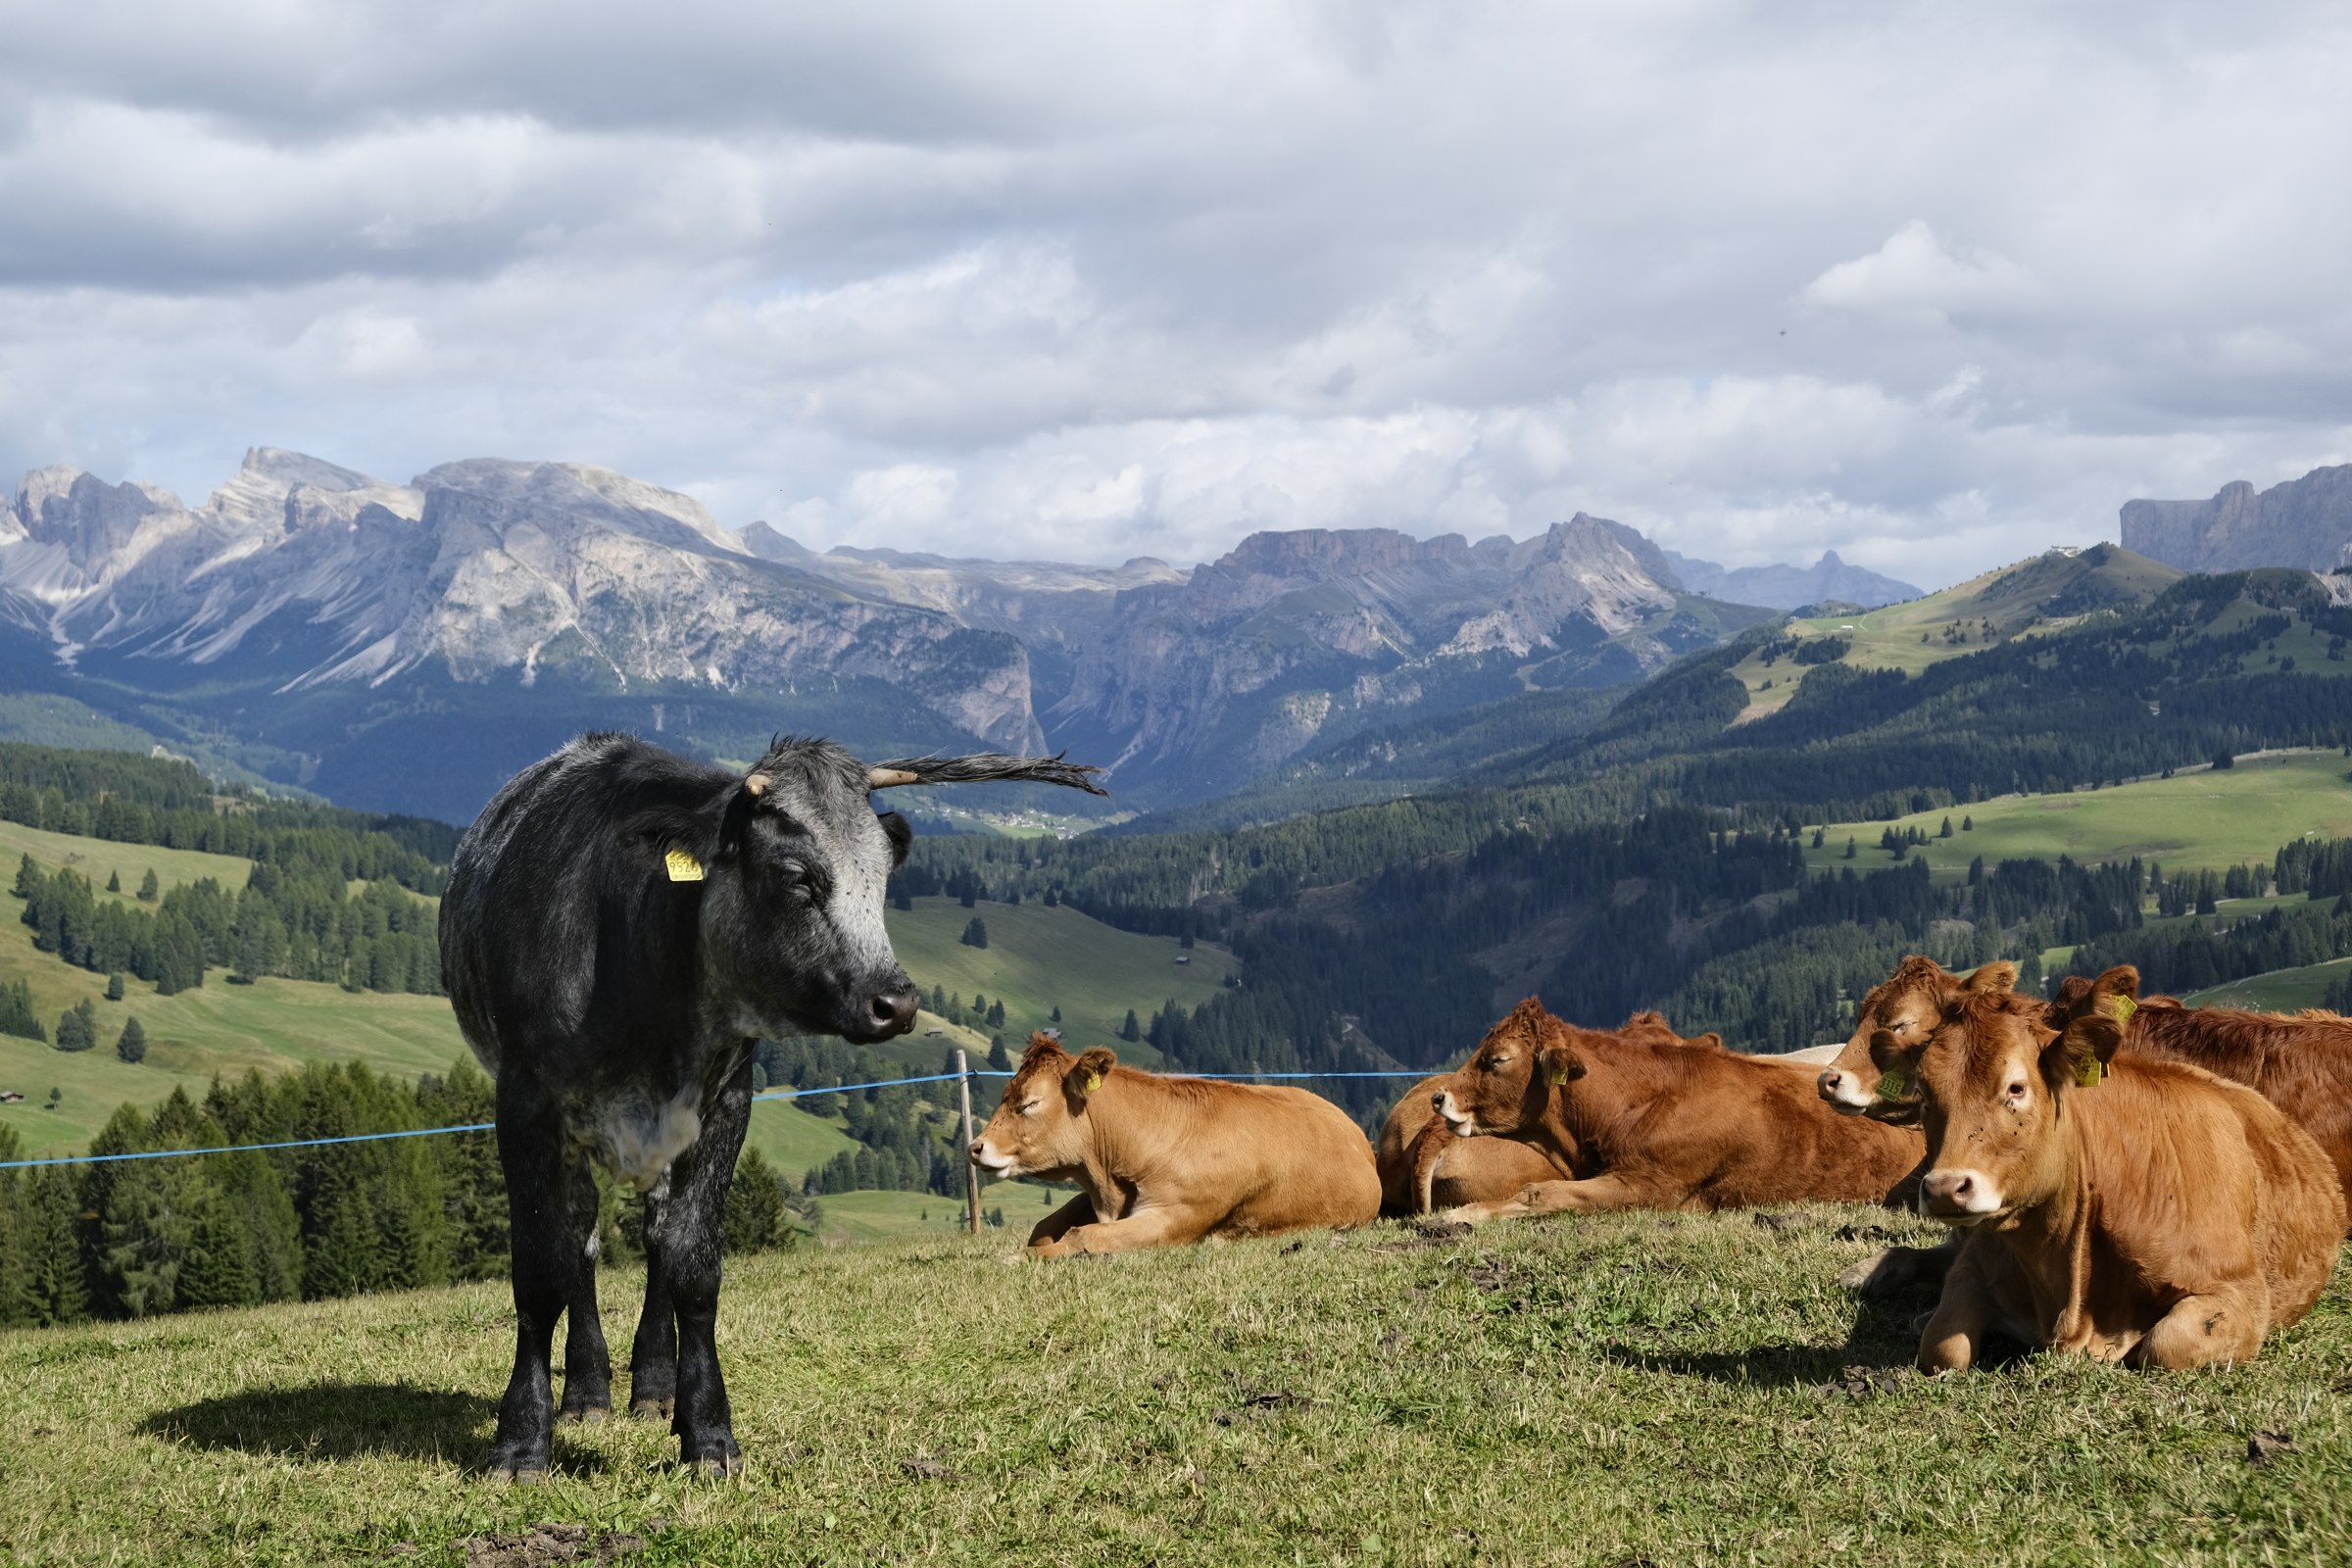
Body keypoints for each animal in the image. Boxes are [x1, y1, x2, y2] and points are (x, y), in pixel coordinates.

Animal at [440, 732, 1105, 1478]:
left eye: (884, 873)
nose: (896, 1002)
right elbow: (541, 1266)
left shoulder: (725, 1101)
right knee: (581, 1236)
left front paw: (707, 1431)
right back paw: (585, 1392)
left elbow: (692, 1262)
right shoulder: (526, 1105)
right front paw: (522, 1439)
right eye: (796, 876)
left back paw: (653, 1387)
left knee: (655, 1235)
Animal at [968, 1036, 1382, 1254]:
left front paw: (1020, 1258)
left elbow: (1083, 1235)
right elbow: (1044, 1225)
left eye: (1030, 1103)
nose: (976, 1147)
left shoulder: (1173, 1217)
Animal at [1880, 979, 2343, 1371]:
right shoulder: (1975, 1263)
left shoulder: (2239, 1289)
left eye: (2016, 1087)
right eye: (1924, 1093)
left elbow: (2166, 1345)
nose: (1944, 1189)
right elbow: (1943, 1346)